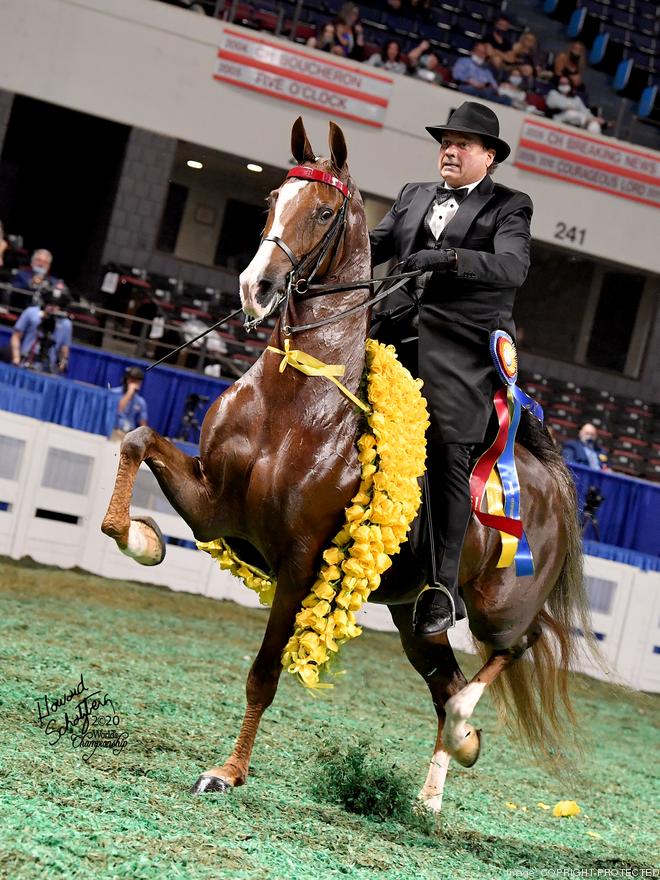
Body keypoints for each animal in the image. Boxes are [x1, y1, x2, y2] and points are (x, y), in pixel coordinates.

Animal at [101, 117, 591, 811]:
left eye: (326, 211)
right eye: (272, 199)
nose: (256, 290)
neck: (295, 394)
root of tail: (547, 476)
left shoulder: (299, 562)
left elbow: (263, 673)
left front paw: (227, 773)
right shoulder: (215, 507)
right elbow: (137, 440)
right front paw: (142, 540)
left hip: (499, 605)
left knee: (522, 644)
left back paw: (463, 726)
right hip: (412, 619)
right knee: (445, 680)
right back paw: (439, 780)